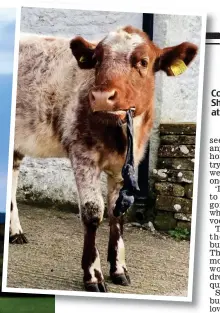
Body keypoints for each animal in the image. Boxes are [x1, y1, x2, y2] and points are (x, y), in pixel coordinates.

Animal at [9, 25, 198, 292]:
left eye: (143, 61)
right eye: (97, 60)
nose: (100, 96)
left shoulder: (125, 165)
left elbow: (117, 213)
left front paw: (118, 269)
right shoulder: (82, 155)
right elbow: (93, 212)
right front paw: (93, 275)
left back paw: (14, 232)